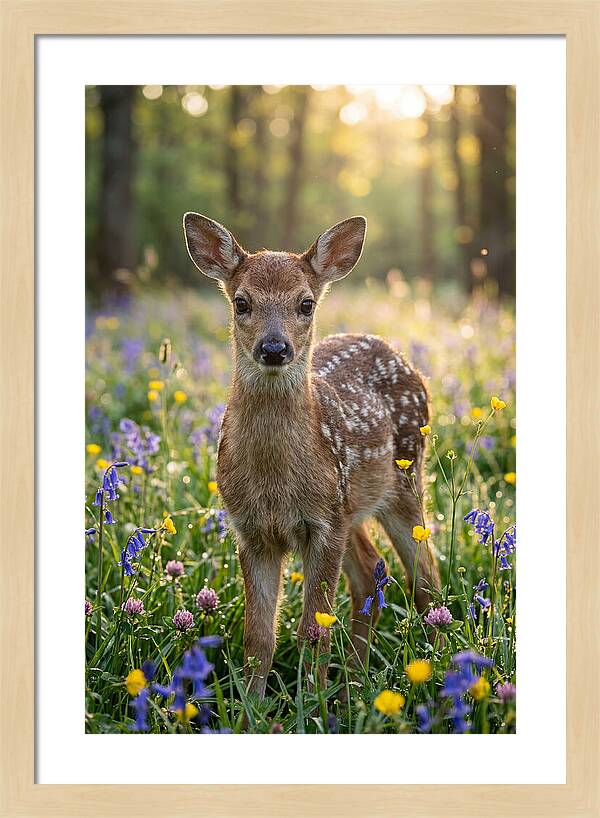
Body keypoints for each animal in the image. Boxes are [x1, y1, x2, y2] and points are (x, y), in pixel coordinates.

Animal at [183, 213, 440, 699]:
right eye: (241, 303)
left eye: (305, 304)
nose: (274, 348)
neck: (274, 482)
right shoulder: (251, 529)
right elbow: (258, 635)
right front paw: (252, 705)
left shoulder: (322, 524)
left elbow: (313, 629)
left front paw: (311, 702)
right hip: (351, 507)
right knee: (369, 574)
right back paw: (355, 682)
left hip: (402, 481)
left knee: (426, 580)